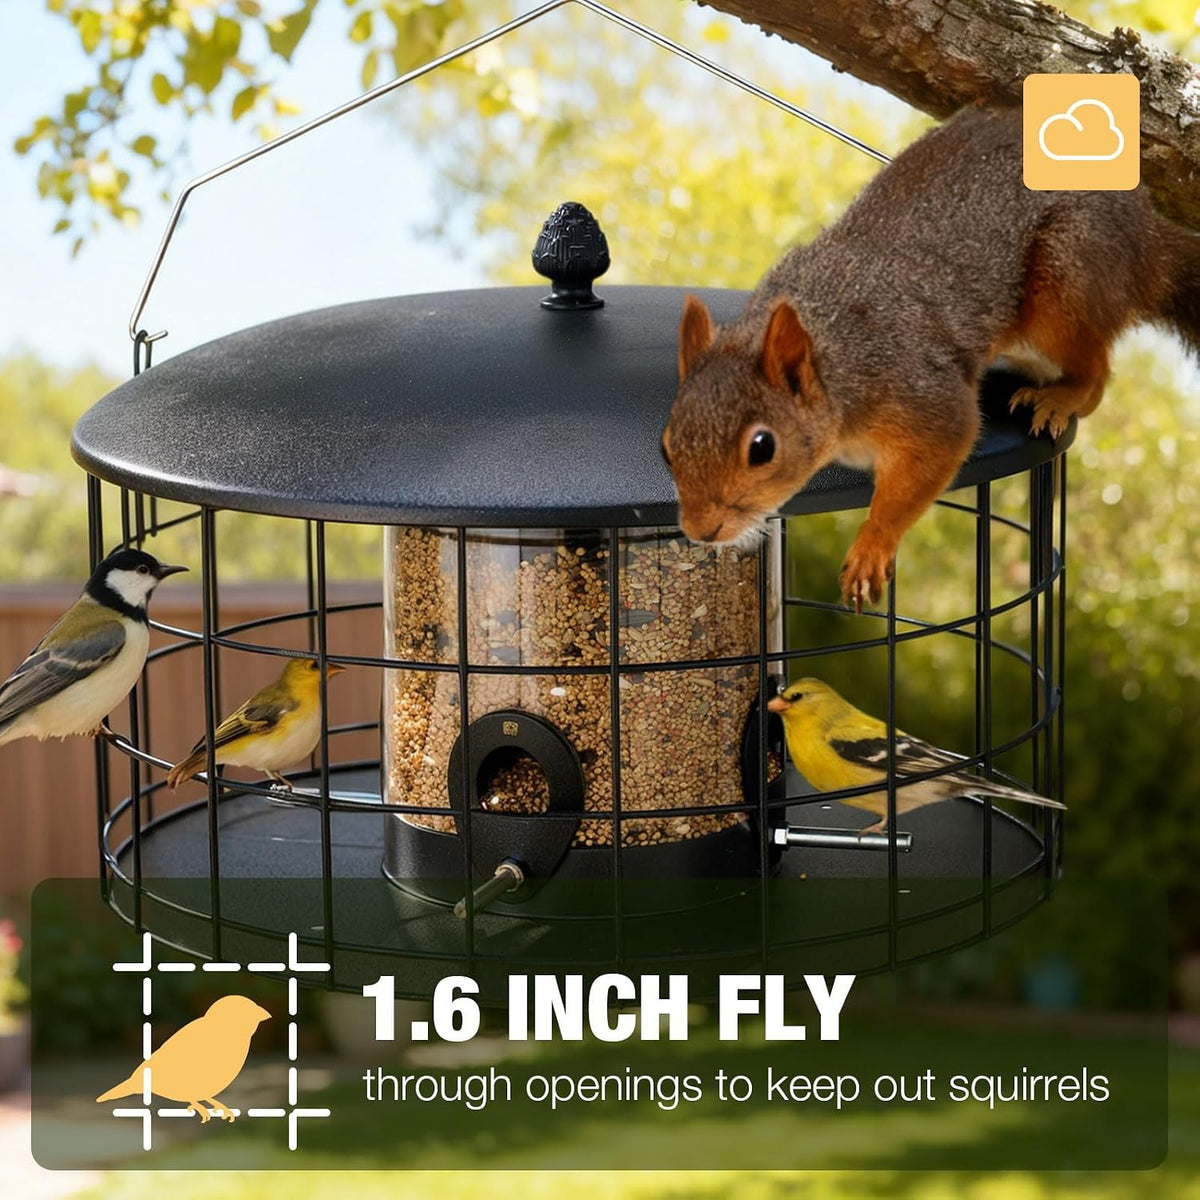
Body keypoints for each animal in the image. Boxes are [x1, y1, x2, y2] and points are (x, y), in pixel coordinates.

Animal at [660, 104, 1200, 610]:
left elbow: (929, 462)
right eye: (667, 446)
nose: (700, 529)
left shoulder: (920, 392)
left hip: (1069, 275)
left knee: (1096, 372)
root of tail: (1149, 235)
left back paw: (1062, 396)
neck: (836, 356)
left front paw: (871, 548)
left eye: (762, 447)